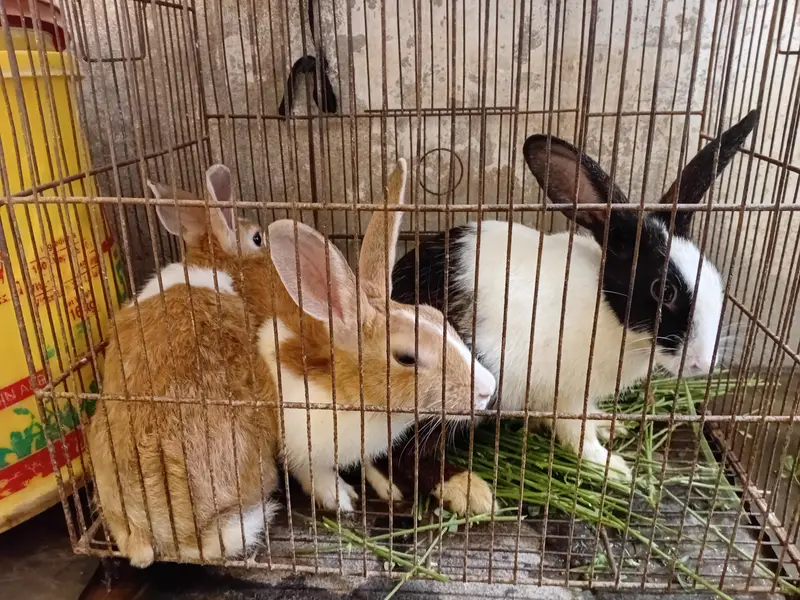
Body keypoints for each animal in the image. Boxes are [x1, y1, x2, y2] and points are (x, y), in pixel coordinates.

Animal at [257, 158, 498, 513]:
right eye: (406, 357)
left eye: (438, 317)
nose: (487, 389)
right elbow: (311, 469)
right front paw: (339, 497)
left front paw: (385, 487)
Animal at [390, 109, 759, 480]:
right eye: (663, 290)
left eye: (713, 274)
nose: (703, 363)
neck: (608, 312)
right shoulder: (567, 395)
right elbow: (578, 436)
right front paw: (612, 467)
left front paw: (610, 427)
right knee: (404, 456)